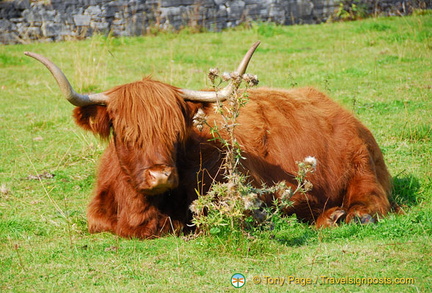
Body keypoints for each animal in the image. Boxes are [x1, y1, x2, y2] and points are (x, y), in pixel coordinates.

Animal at [25, 42, 394, 238]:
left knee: (372, 202)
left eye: (176, 132)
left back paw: (345, 216)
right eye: (126, 133)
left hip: (361, 167)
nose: (160, 175)